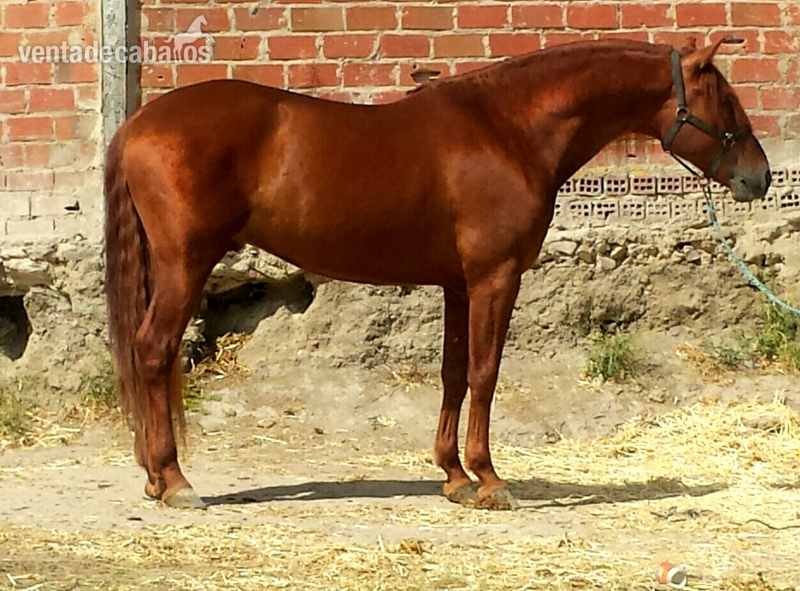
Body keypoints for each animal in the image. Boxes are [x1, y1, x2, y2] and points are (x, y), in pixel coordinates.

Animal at [104, 38, 770, 511]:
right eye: (724, 101)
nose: (759, 177)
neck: (507, 129)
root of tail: (139, 123)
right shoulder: (496, 279)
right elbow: (485, 373)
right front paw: (491, 480)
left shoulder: (457, 284)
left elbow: (452, 374)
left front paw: (454, 476)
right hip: (186, 263)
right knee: (154, 350)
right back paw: (174, 480)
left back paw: (155, 478)